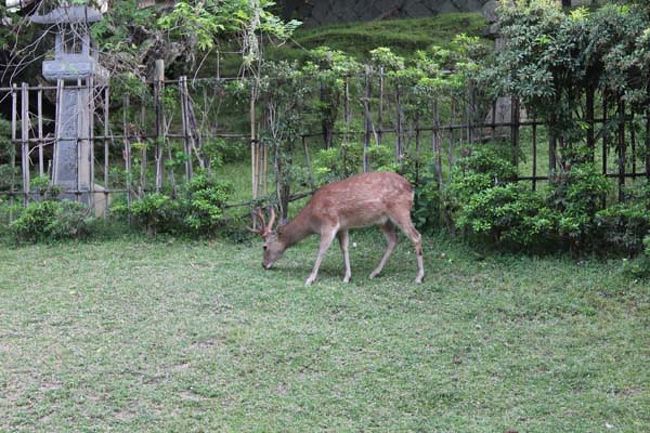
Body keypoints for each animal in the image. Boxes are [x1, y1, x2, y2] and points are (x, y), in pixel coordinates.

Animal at [250, 171, 425, 285]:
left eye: (264, 246)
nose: (263, 265)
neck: (312, 218)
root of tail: (411, 188)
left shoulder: (329, 223)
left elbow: (322, 250)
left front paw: (310, 279)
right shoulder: (343, 226)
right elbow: (344, 248)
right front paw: (347, 277)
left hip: (400, 210)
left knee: (416, 236)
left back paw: (419, 277)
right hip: (384, 220)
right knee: (393, 240)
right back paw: (374, 272)